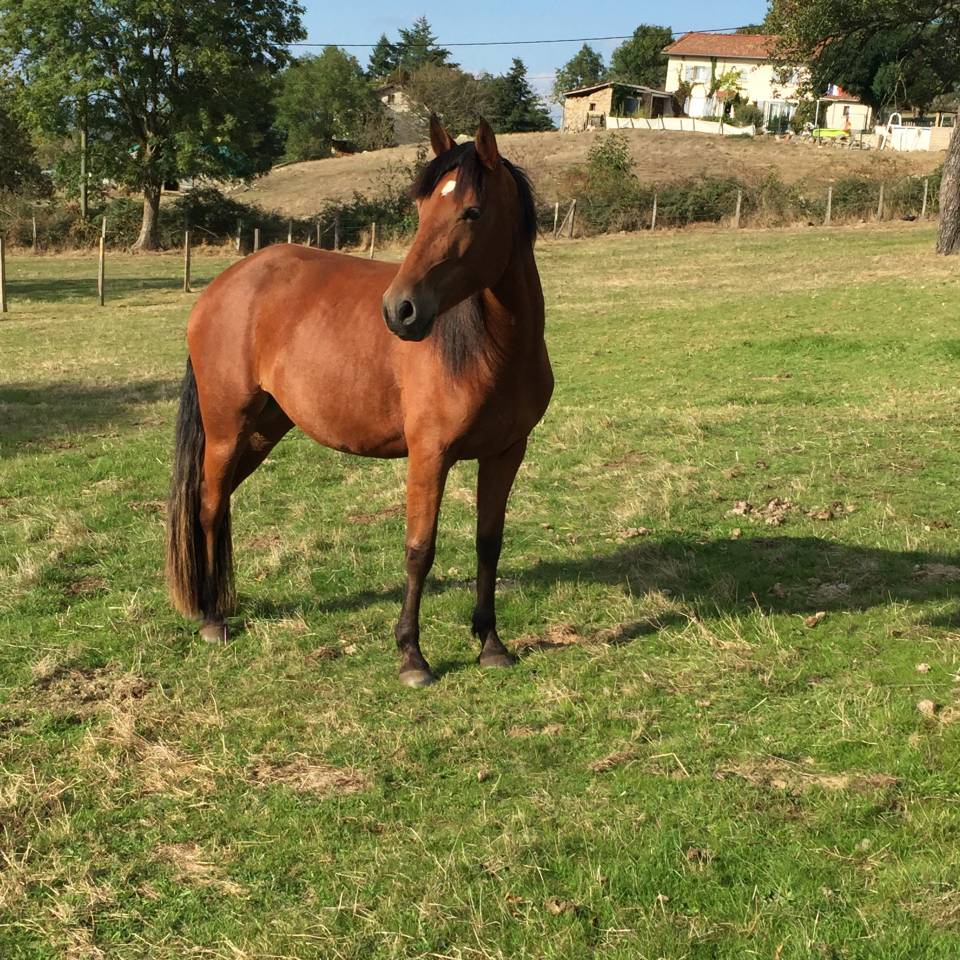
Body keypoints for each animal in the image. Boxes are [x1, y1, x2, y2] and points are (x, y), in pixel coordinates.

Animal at [165, 117, 553, 687]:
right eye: (421, 210)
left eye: (472, 212)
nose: (400, 311)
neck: (493, 347)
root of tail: (222, 287)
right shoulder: (429, 456)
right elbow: (419, 549)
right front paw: (412, 655)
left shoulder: (506, 453)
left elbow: (489, 543)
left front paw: (490, 643)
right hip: (225, 429)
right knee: (210, 507)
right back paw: (214, 619)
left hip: (261, 431)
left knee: (215, 502)